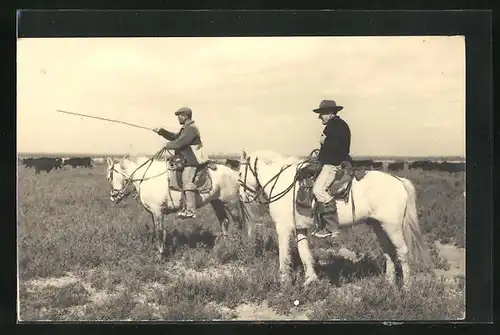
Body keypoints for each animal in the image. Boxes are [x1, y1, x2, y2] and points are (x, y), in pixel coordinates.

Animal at [107, 156, 242, 258]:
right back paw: (224, 246)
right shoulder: (154, 213)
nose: (113, 198)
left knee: (238, 223)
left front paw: (161, 254)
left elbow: (160, 231)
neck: (147, 177)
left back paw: (239, 246)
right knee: (224, 221)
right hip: (216, 202)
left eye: (109, 177)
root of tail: (235, 173)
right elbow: (159, 230)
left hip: (231, 202)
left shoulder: (157, 210)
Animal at [237, 150, 430, 288]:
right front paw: (310, 280)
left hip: (392, 226)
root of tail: (399, 180)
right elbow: (305, 254)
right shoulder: (300, 229)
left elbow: (284, 257)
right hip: (379, 226)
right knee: (388, 252)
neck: (282, 182)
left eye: (239, 174)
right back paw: (389, 283)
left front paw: (284, 284)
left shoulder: (282, 229)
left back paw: (406, 287)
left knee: (402, 252)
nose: (242, 197)